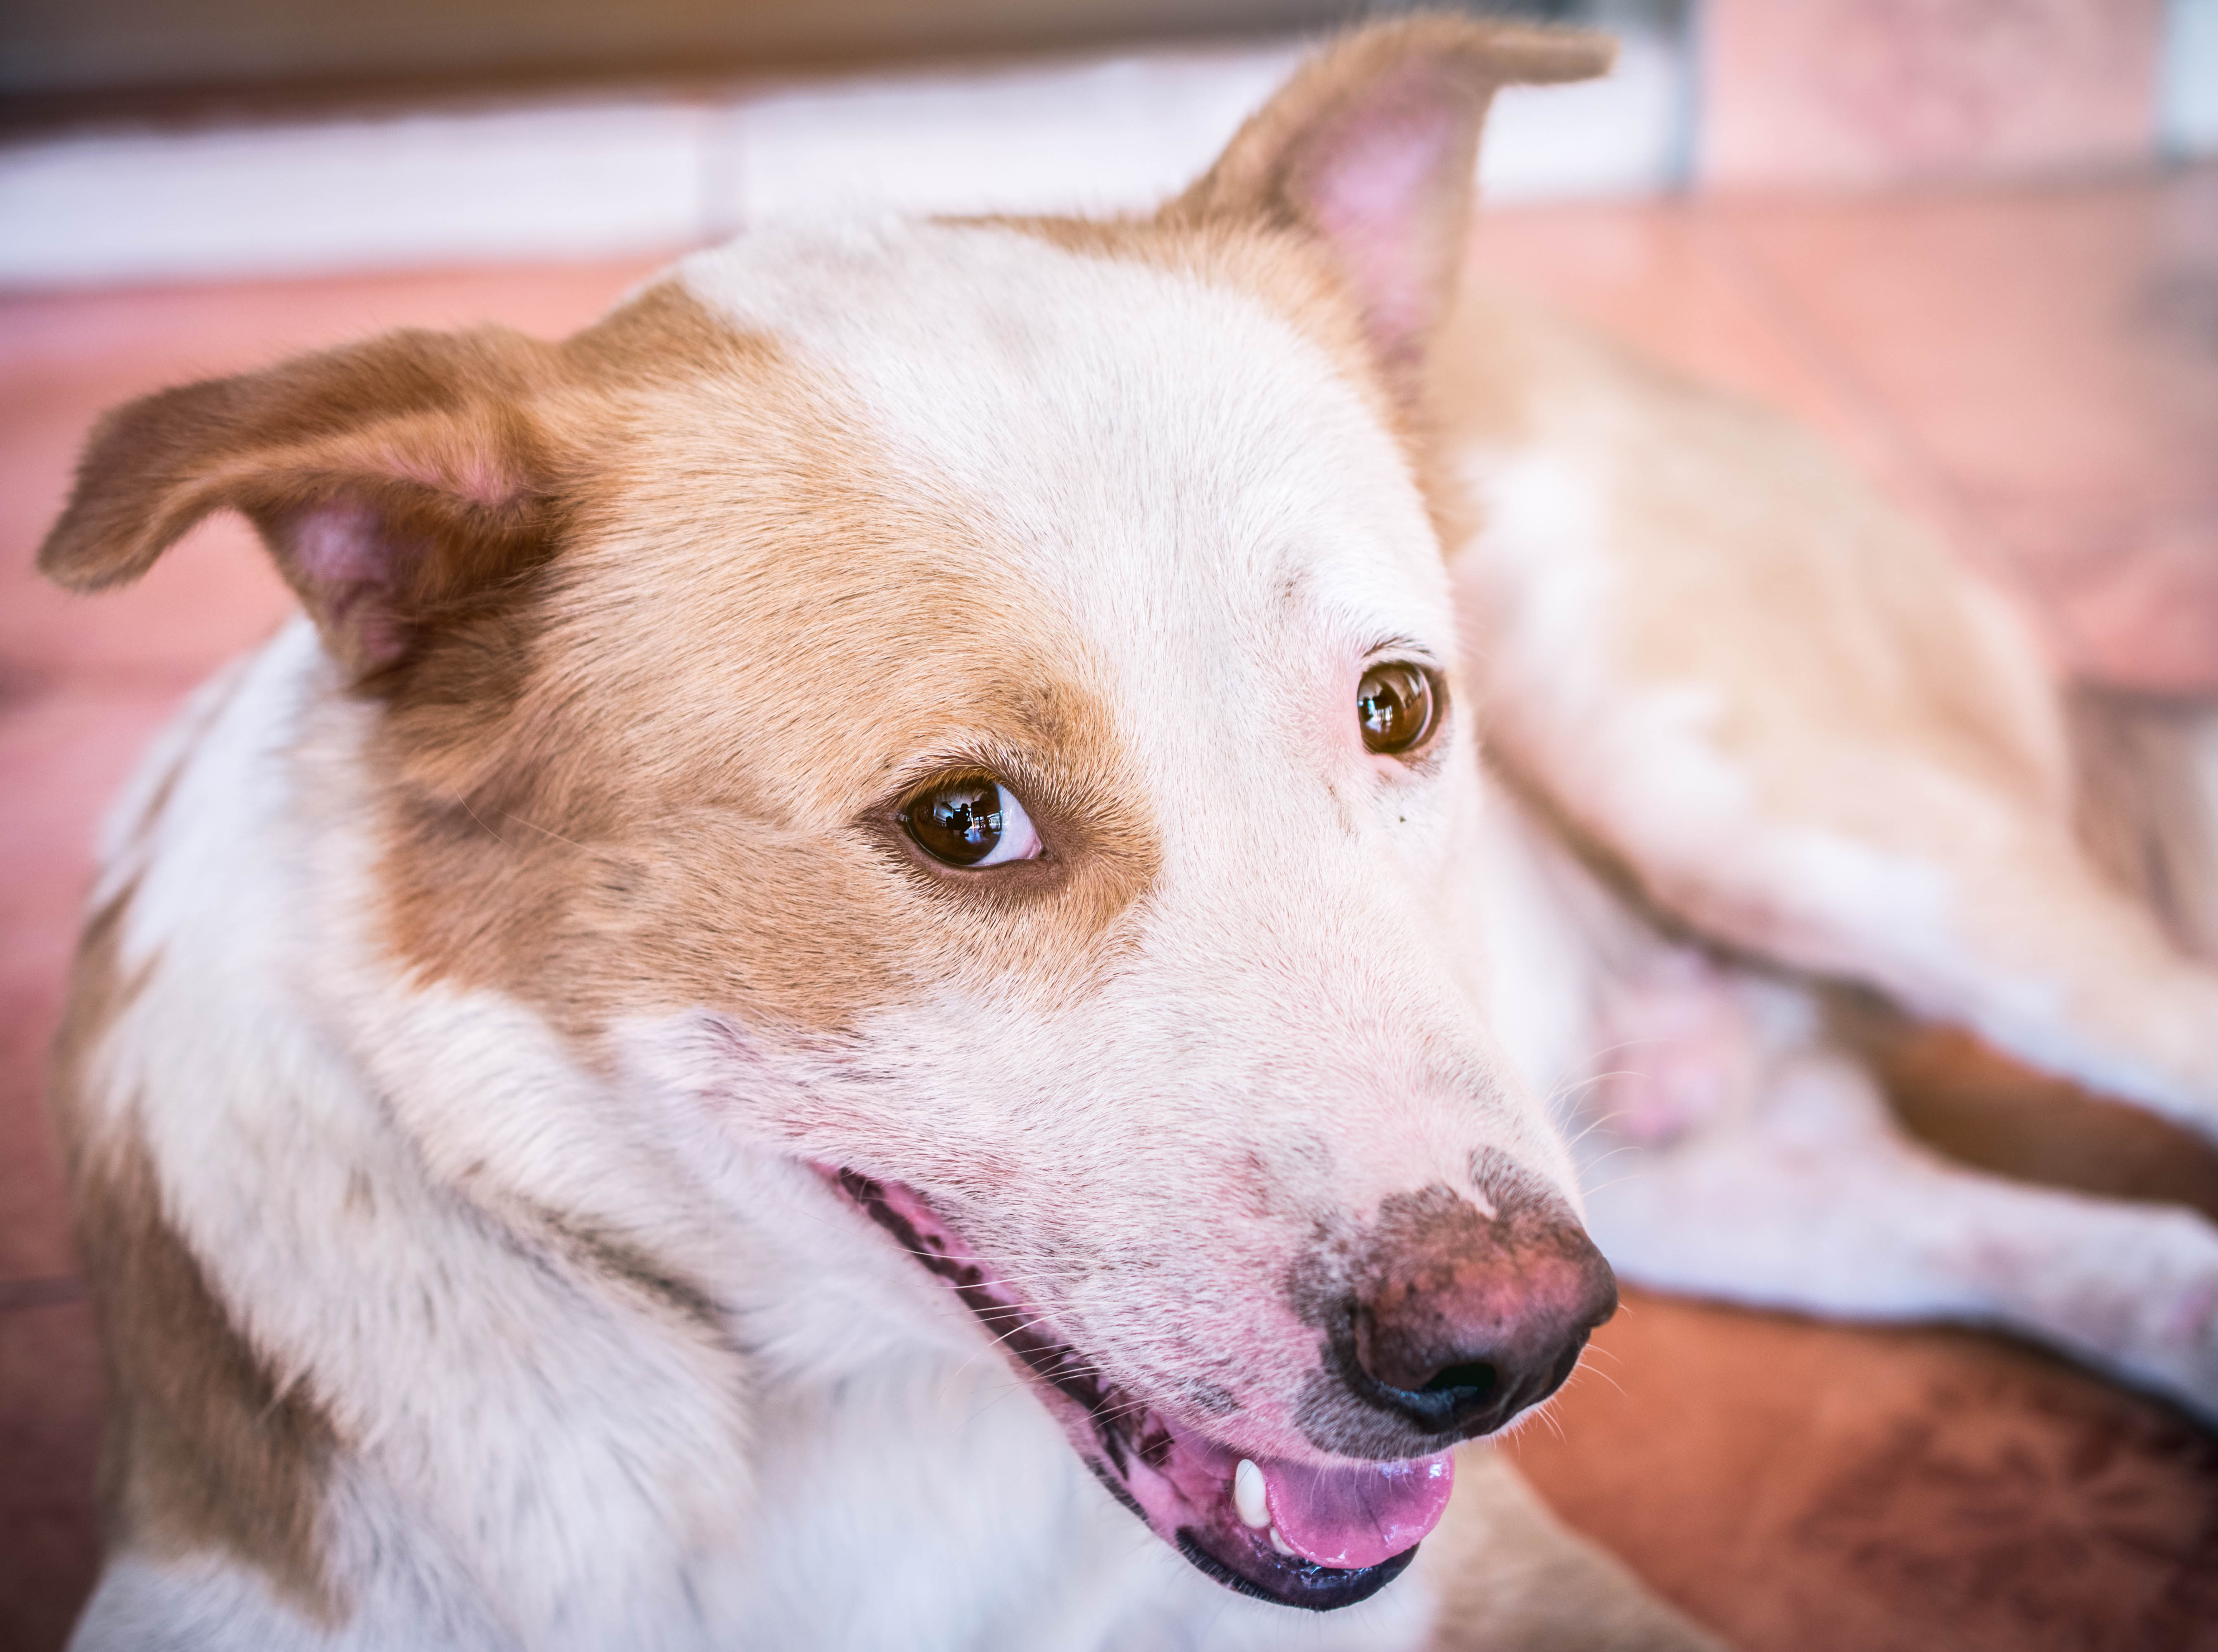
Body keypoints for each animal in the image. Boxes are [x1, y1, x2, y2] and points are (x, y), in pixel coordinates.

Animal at [34, 16, 2218, 1650]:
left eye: (1395, 707)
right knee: (2086, 1245)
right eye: (962, 820)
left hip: (1772, 837)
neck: (803, 1423)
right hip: (1668, 1165)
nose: (1507, 1347)